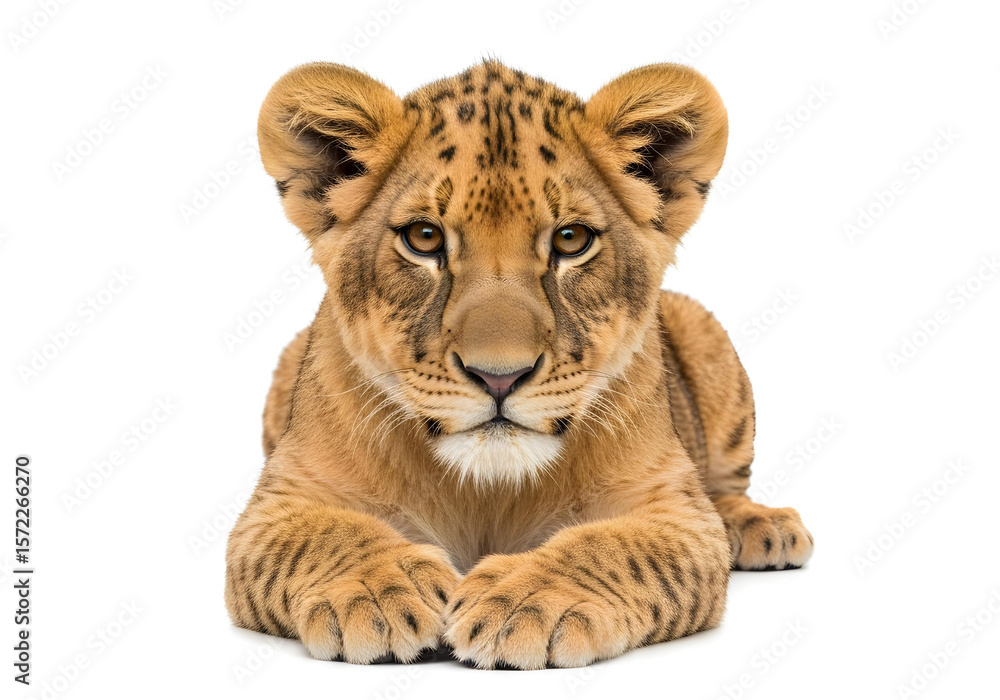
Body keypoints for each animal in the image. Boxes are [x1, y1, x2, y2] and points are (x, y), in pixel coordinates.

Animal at [224, 59, 814, 669]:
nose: (499, 376)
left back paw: (763, 526)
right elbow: (326, 537)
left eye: (571, 239)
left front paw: (525, 602)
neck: (486, 491)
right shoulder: (276, 507)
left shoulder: (677, 514)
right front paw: (380, 591)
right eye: (424, 237)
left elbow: (615, 548)